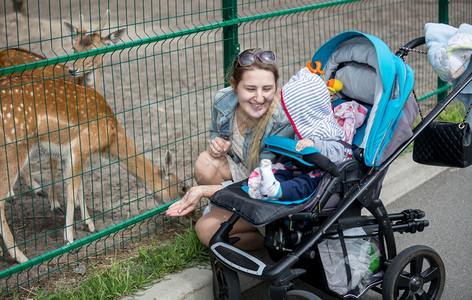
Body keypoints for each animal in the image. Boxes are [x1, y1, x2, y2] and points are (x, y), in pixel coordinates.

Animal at [0, 9, 126, 213]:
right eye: (73, 48)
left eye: (96, 49)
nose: (73, 69)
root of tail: (3, 50)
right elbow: (54, 163)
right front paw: (56, 205)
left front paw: (76, 204)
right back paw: (13, 193)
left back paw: (36, 188)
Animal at [0, 76, 188, 264]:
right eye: (183, 187)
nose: (188, 218)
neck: (110, 137)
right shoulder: (80, 147)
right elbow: (71, 192)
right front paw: (70, 240)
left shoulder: (72, 154)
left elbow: (80, 188)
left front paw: (90, 226)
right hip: (13, 146)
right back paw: (21, 257)